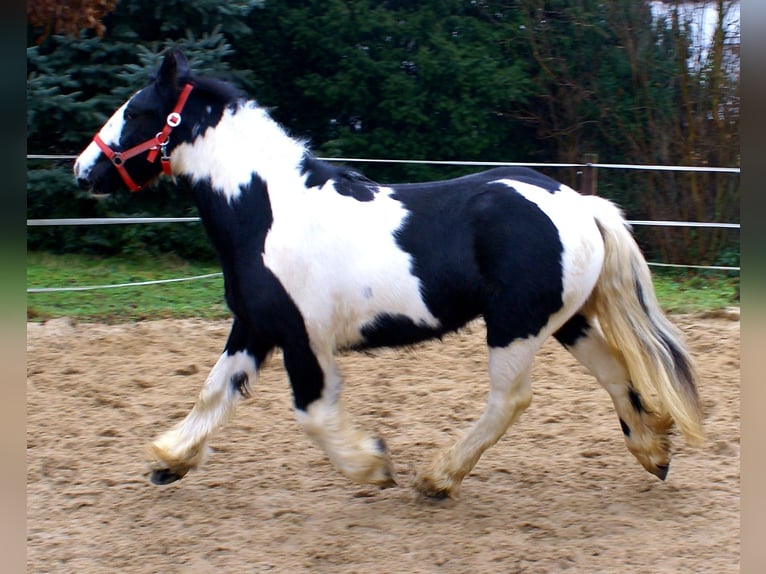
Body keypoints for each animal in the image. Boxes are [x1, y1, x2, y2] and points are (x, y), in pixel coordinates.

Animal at [75, 48, 704, 500]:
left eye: (137, 111)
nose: (83, 170)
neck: (268, 211)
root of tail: (578, 203)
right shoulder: (254, 326)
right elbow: (215, 390)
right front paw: (169, 461)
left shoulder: (302, 337)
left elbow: (313, 413)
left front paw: (373, 466)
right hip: (565, 321)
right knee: (615, 372)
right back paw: (654, 453)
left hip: (515, 326)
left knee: (510, 400)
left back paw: (438, 478)